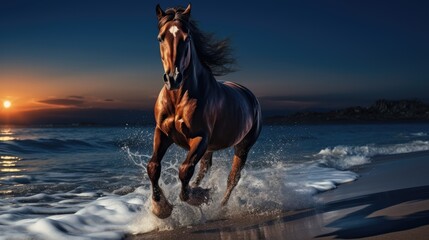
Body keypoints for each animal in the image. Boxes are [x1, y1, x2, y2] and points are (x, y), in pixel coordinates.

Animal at [147, 3, 260, 219]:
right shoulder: (162, 133)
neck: (179, 99)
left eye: (187, 38)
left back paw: (221, 207)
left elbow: (184, 170)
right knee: (203, 169)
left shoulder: (199, 138)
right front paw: (161, 207)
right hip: (210, 149)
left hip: (242, 147)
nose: (173, 78)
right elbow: (153, 167)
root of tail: (250, 95)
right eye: (160, 38)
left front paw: (198, 197)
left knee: (232, 178)